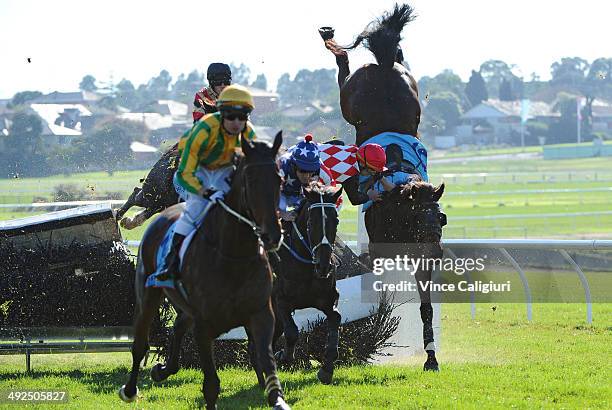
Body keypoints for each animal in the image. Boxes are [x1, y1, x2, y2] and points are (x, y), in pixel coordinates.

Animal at [120, 133, 292, 408]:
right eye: (250, 181)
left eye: (280, 179)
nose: (272, 234)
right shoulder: (205, 323)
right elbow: (211, 383)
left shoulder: (260, 313)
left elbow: (264, 356)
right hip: (149, 289)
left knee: (178, 326)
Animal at [272, 183, 344, 384]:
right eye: (311, 222)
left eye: (336, 221)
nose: (324, 266)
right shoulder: (281, 300)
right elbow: (292, 332)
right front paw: (284, 356)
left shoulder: (328, 300)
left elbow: (335, 319)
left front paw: (326, 369)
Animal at [322, 3, 448, 370]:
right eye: (420, 220)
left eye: (440, 220)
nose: (437, 252)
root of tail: (384, 66)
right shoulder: (377, 250)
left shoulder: (422, 265)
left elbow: (426, 306)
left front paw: (431, 356)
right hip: (350, 98)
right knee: (344, 68)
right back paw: (331, 42)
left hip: (409, 82)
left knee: (397, 54)